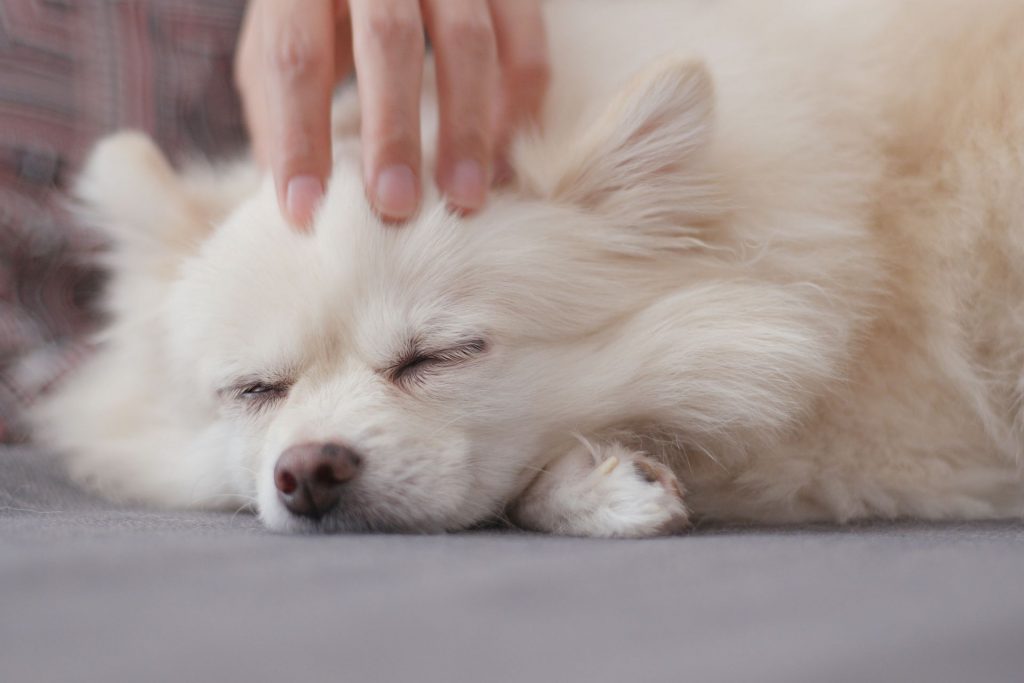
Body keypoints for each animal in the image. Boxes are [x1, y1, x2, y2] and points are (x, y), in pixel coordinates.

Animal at [28, 0, 1024, 536]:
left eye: (439, 355)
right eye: (253, 390)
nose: (306, 469)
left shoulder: (889, 440)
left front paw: (597, 488)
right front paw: (604, 483)